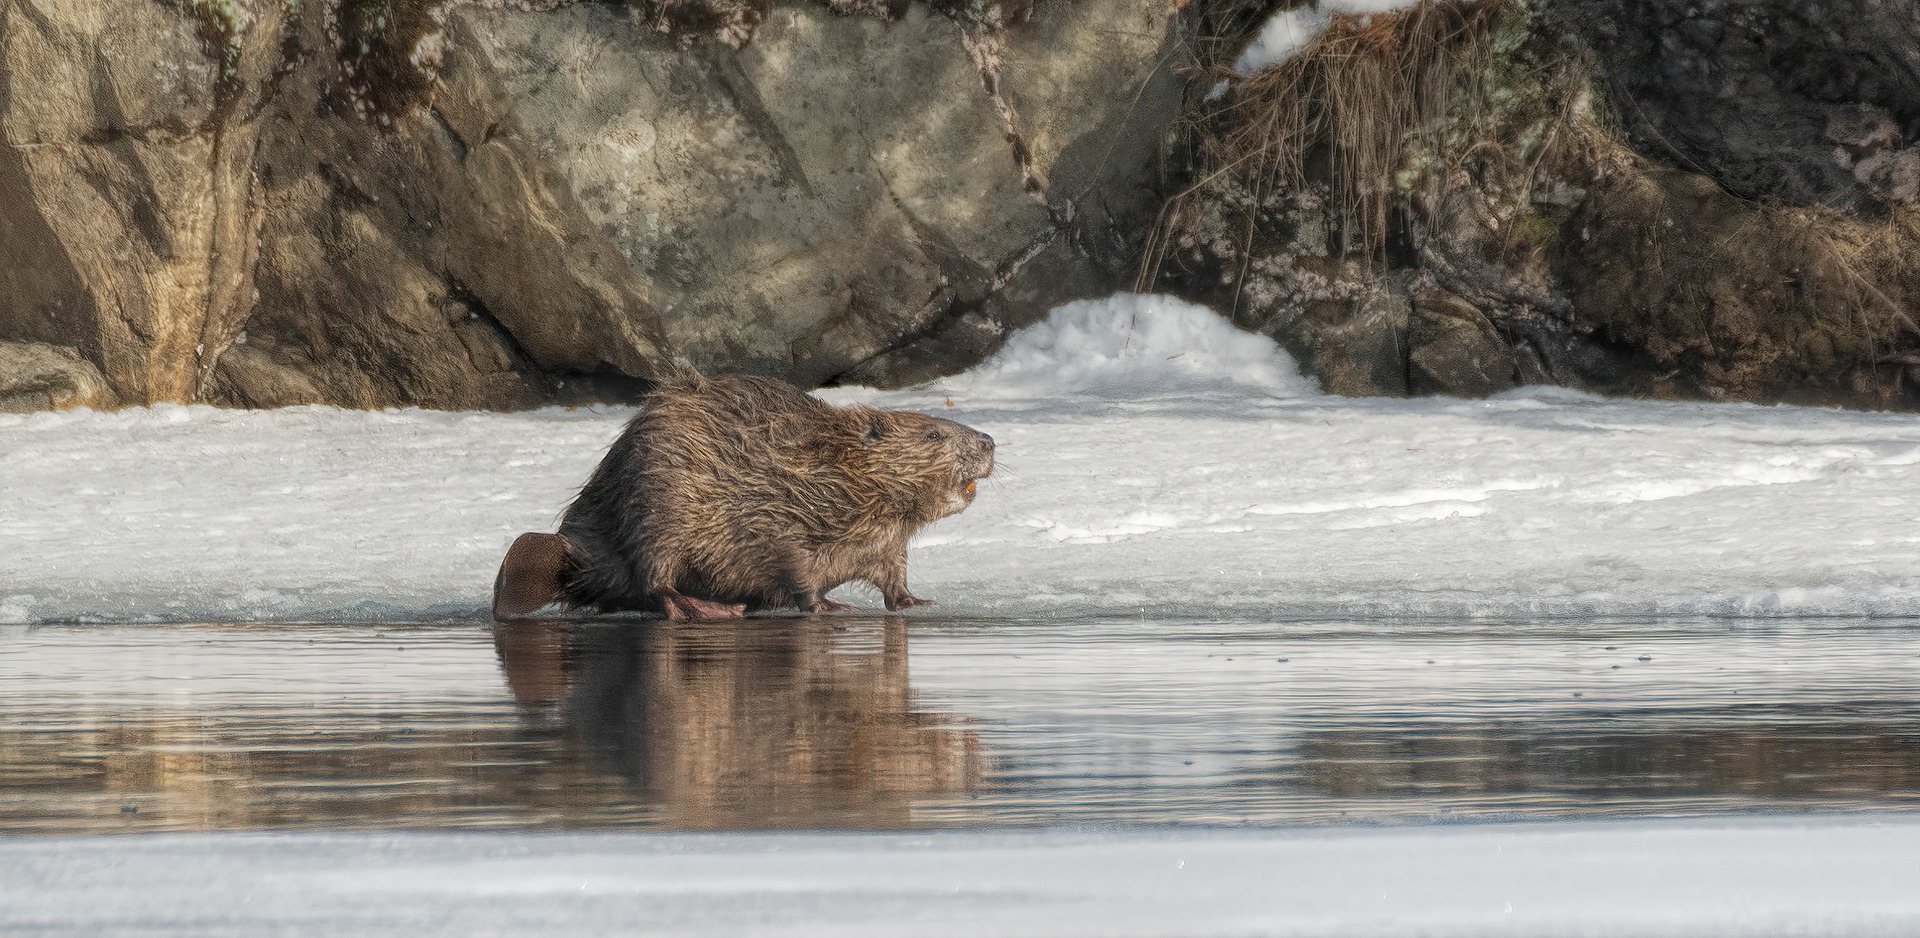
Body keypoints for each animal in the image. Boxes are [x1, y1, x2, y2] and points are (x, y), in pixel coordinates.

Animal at [487, 372, 998, 621]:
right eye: (934, 433)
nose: (989, 442)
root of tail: (576, 558)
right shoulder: (778, 513)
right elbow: (796, 567)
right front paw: (830, 606)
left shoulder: (887, 542)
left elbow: (894, 577)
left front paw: (918, 602)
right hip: (657, 503)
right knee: (655, 580)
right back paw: (711, 608)